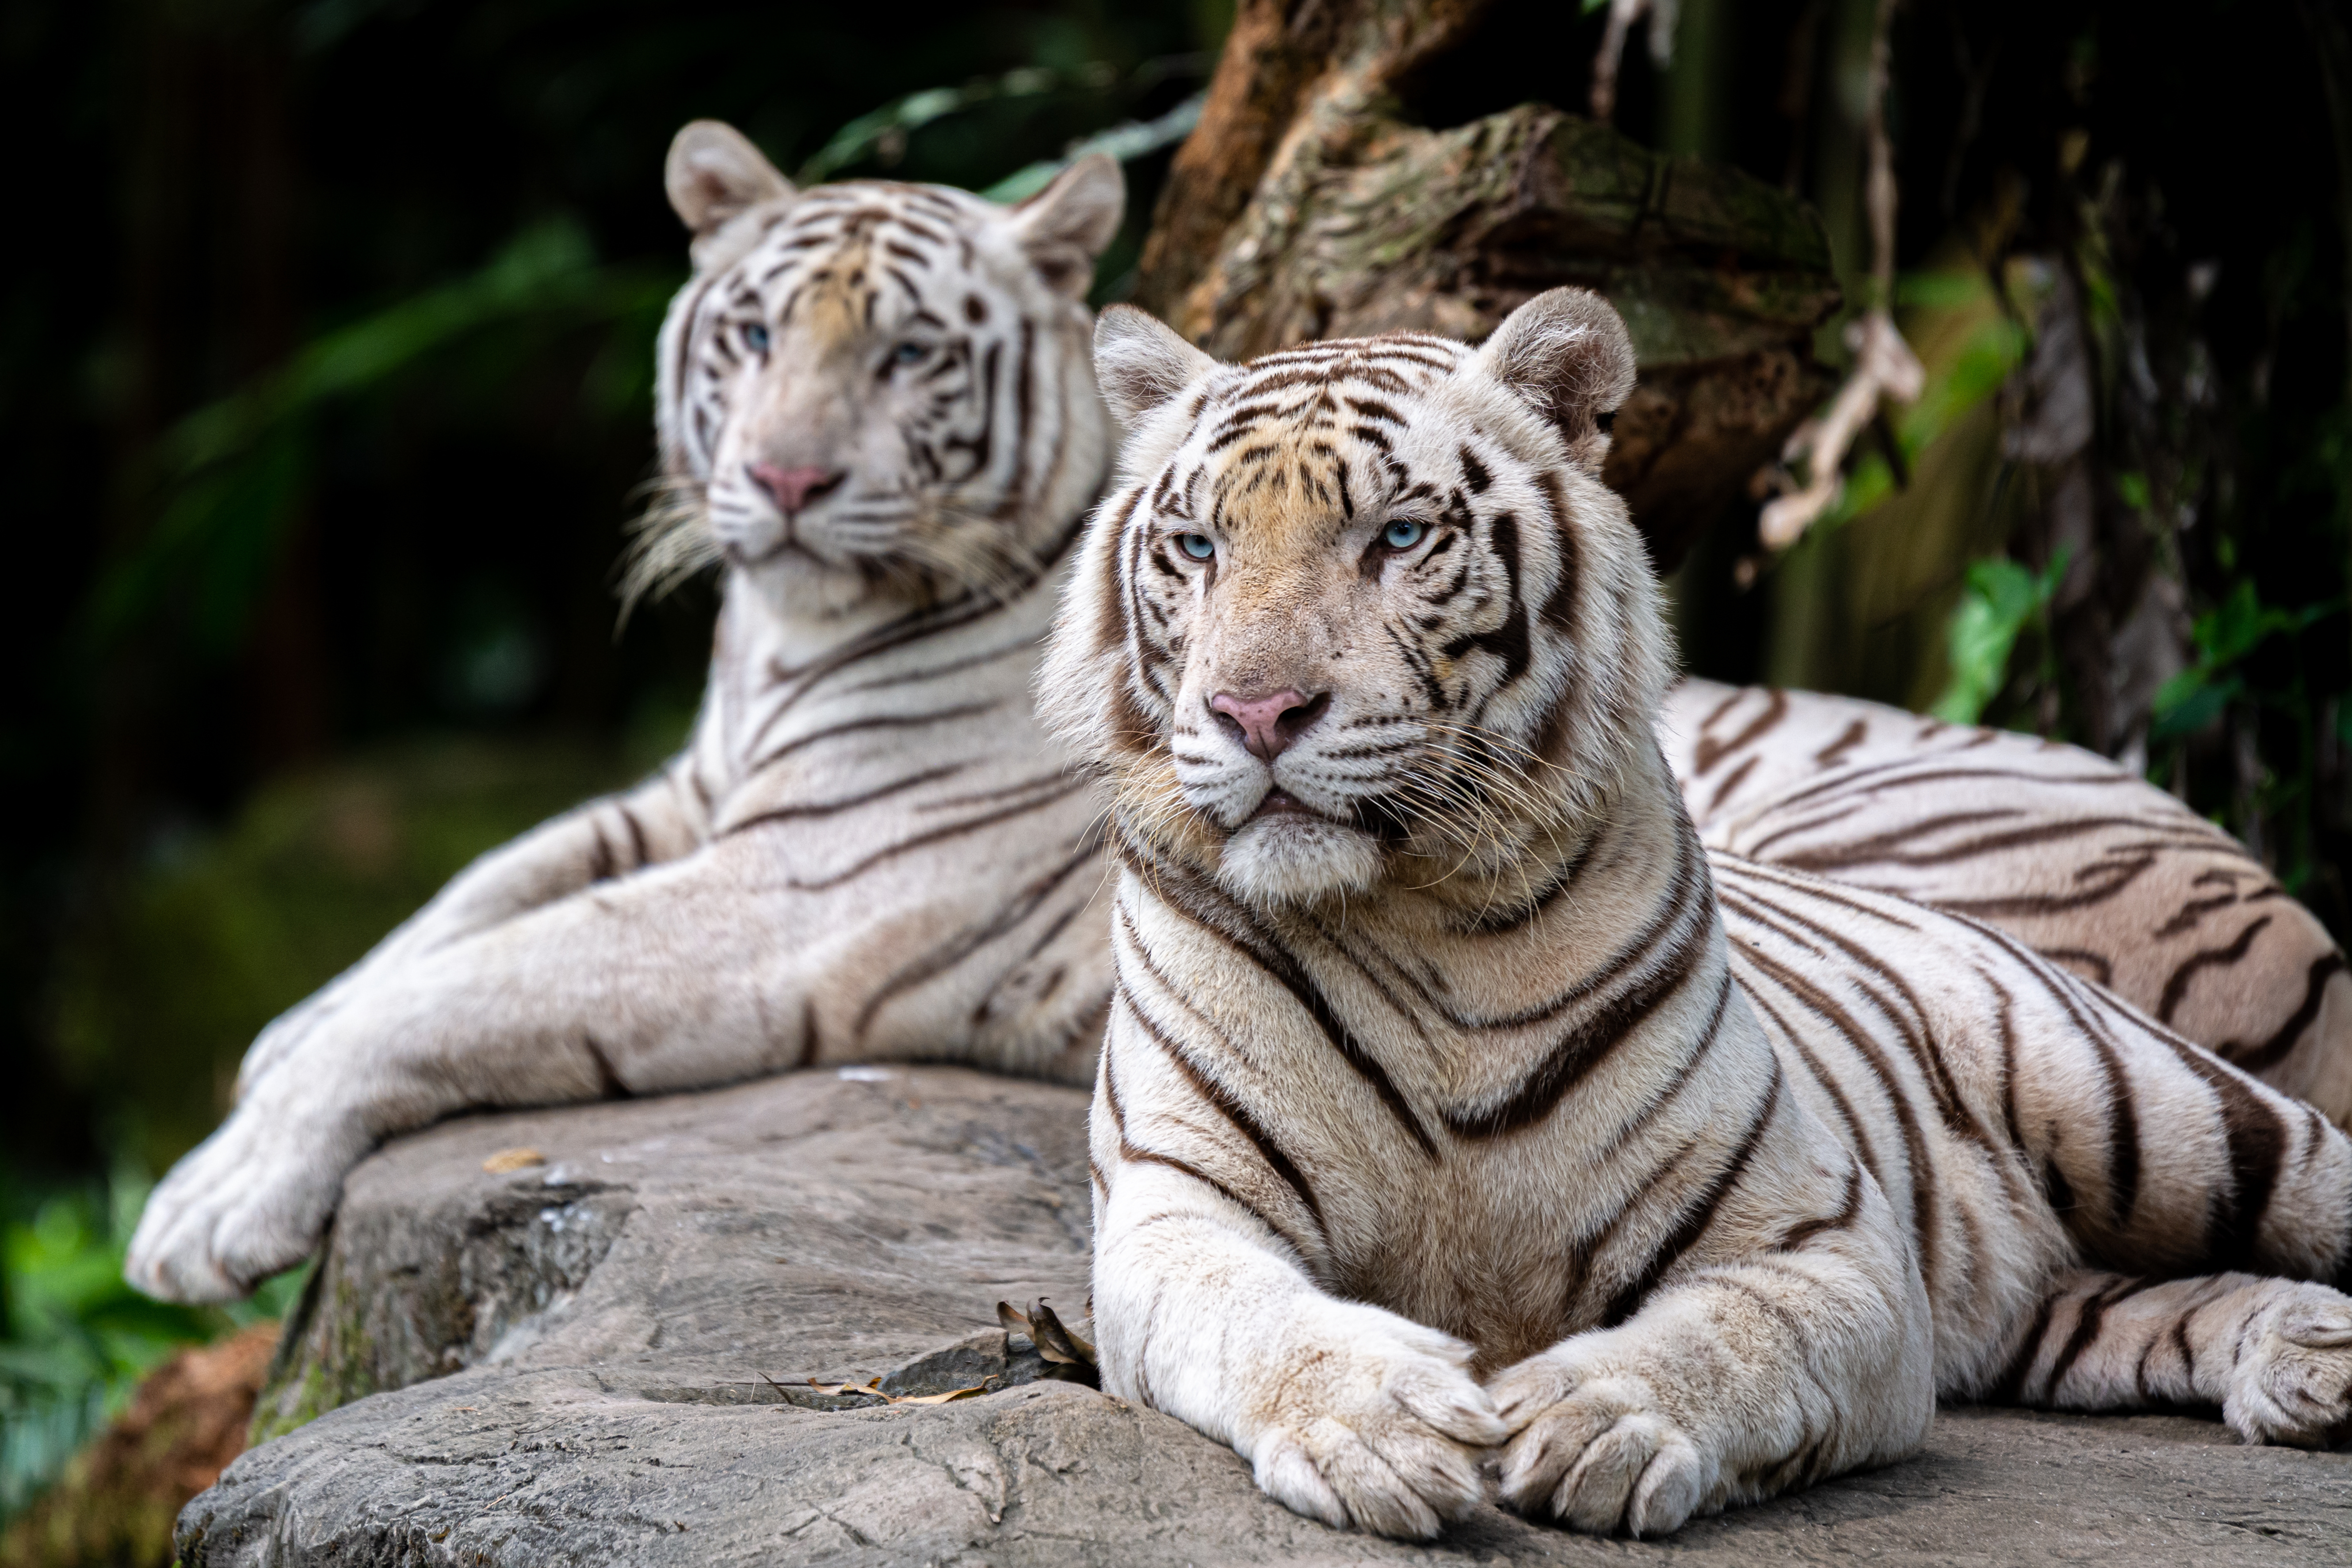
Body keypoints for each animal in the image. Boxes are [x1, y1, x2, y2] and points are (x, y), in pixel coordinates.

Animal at [124, 120, 1126, 1304]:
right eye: (754, 336)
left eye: (911, 355)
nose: (786, 480)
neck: (782, 640)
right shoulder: (686, 793)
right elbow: (476, 888)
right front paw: (284, 1030)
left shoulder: (805, 883)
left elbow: (468, 980)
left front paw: (212, 1200)